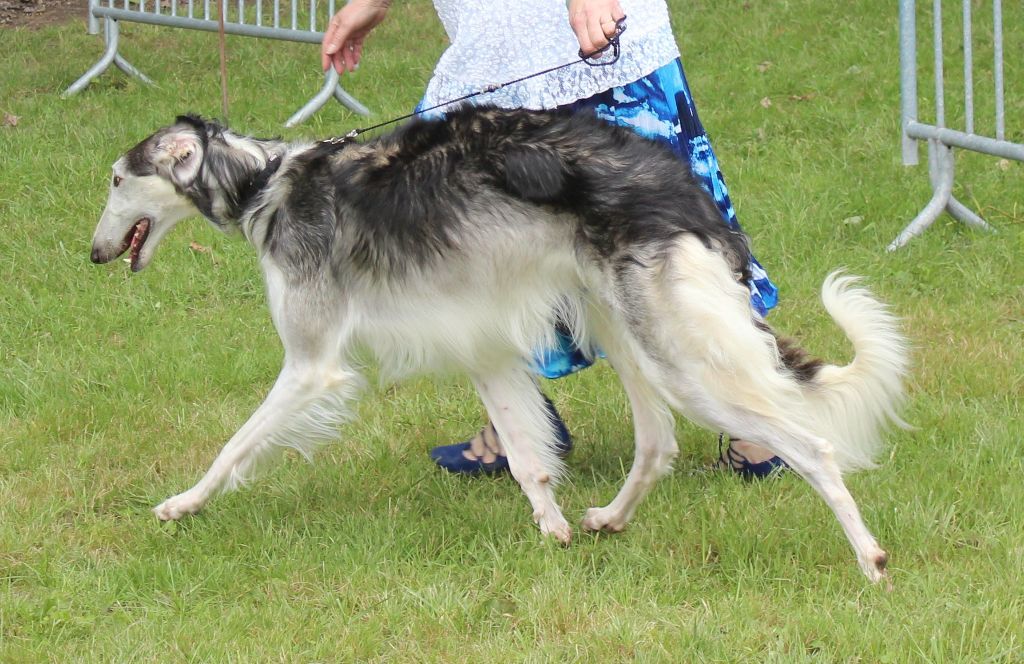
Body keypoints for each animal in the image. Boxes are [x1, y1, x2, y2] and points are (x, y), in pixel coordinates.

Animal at [92, 103, 909, 582]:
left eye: (116, 181)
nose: (92, 255)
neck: (265, 182)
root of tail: (682, 190)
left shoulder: (311, 366)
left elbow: (234, 447)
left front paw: (182, 505)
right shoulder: (478, 343)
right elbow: (526, 455)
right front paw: (552, 526)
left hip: (679, 356)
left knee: (813, 449)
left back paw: (870, 560)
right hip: (626, 332)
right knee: (658, 443)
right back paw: (608, 519)